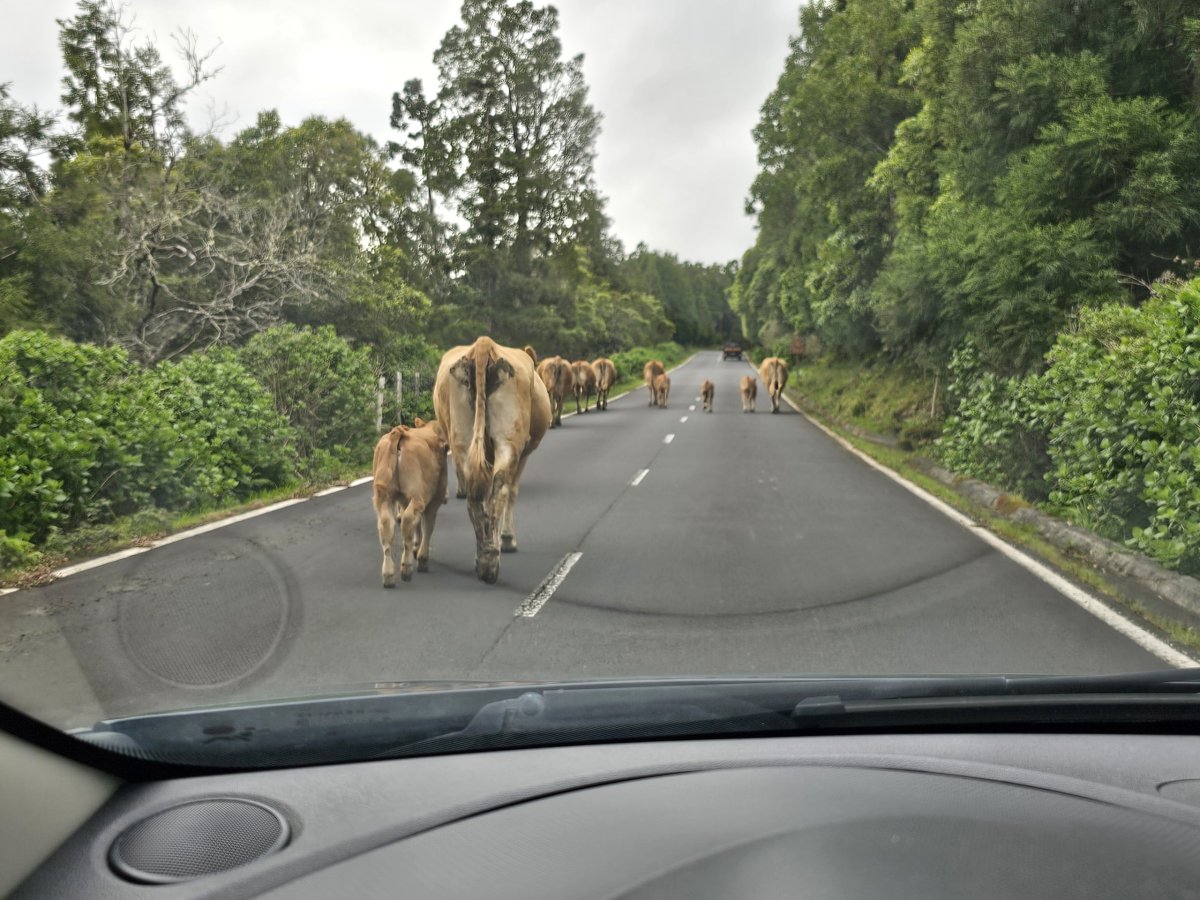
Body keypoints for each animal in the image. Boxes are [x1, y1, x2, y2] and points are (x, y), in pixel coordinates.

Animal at [434, 336, 549, 585]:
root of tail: (484, 344)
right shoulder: (522, 453)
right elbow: (512, 492)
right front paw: (507, 539)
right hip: (509, 440)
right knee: (499, 491)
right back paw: (492, 560)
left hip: (462, 439)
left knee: (475, 496)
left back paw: (483, 559)